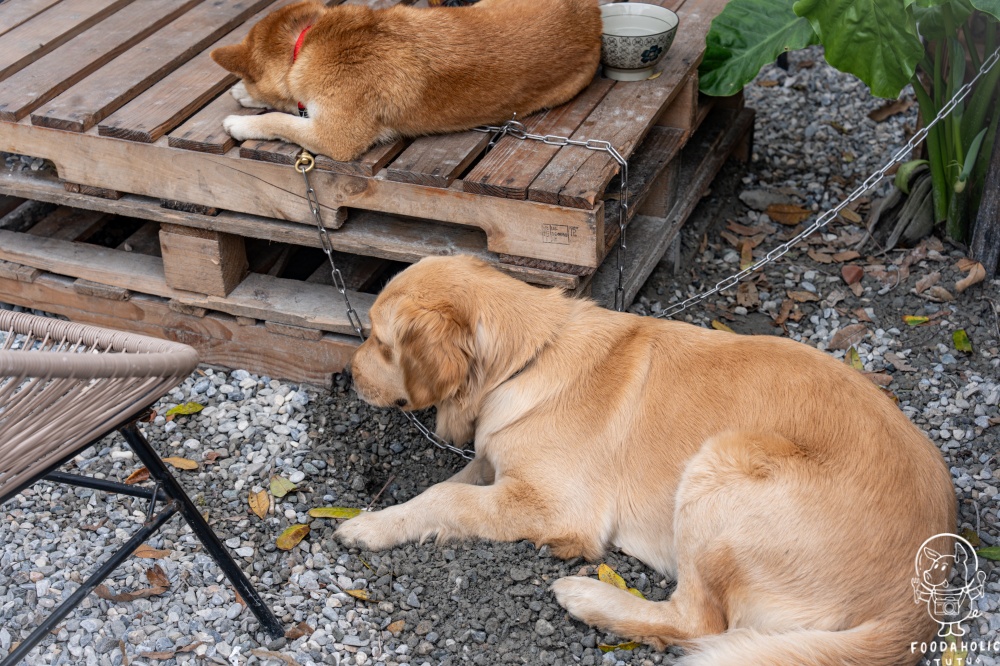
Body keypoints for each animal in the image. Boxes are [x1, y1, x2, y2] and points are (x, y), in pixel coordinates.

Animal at [210, 0, 596, 161]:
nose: (243, 88)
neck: (307, 43)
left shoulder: (336, 139)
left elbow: (280, 119)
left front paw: (241, 123)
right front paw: (243, 95)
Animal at [338, 253, 960, 660]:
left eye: (378, 341)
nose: (344, 376)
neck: (529, 356)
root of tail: (917, 601)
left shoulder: (554, 506)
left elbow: (447, 496)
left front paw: (368, 528)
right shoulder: (499, 463)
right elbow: (449, 485)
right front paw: (383, 516)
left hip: (722, 465)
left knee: (697, 622)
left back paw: (589, 596)